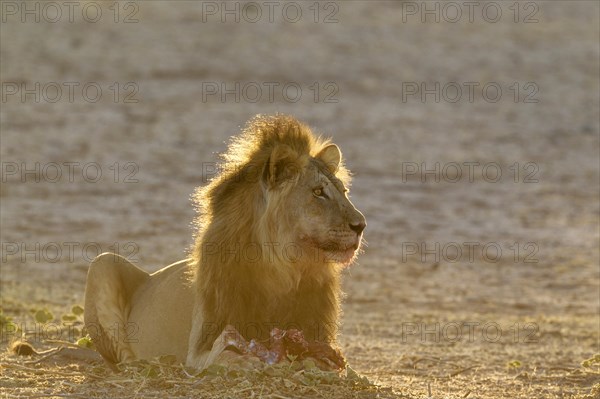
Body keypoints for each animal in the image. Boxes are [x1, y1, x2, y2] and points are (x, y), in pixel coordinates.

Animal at [84, 114, 366, 370]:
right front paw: (255, 359)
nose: (361, 225)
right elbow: (226, 355)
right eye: (318, 192)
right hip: (104, 262)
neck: (284, 269)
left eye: (344, 191)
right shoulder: (197, 350)